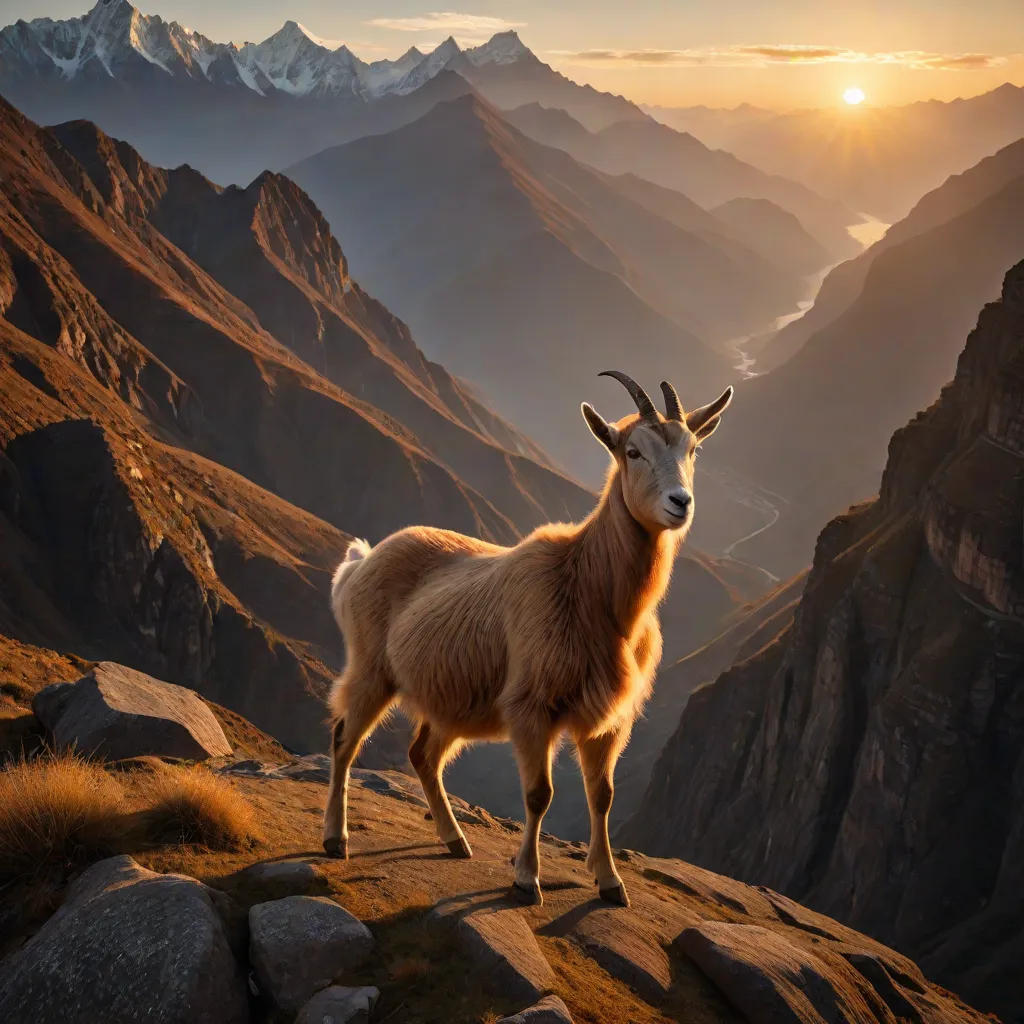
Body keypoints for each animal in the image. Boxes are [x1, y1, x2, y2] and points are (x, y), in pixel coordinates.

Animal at [321, 370, 733, 905]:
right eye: (632, 451)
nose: (680, 502)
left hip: (452, 696)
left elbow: (602, 796)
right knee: (344, 737)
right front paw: (525, 878)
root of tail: (360, 563)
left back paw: (454, 839)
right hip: (371, 668)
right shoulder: (533, 706)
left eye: (693, 449)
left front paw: (610, 882)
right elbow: (540, 795)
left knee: (423, 754)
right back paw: (336, 838)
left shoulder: (610, 721)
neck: (588, 588)